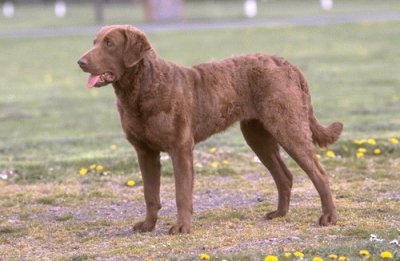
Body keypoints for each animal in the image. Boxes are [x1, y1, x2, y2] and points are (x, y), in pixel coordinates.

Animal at [79, 24, 344, 234]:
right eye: (94, 42)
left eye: (109, 43)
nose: (80, 62)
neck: (142, 89)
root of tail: (287, 64)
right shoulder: (144, 152)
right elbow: (150, 194)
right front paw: (147, 225)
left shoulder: (181, 148)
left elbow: (182, 193)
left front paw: (181, 227)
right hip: (257, 135)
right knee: (285, 176)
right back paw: (279, 214)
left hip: (288, 127)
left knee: (319, 173)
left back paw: (329, 217)